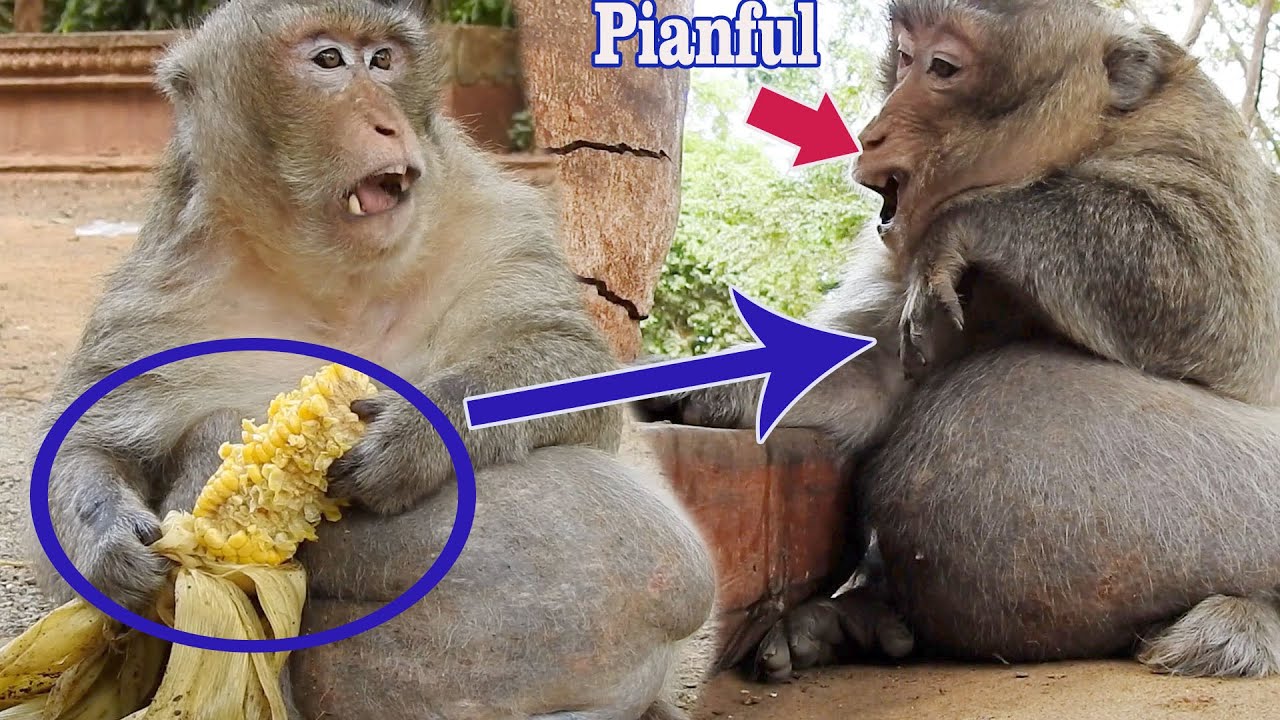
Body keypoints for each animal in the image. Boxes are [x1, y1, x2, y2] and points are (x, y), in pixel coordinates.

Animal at [23, 1, 717, 718]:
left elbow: (579, 376)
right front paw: (109, 547)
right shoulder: (161, 288)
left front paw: (417, 430)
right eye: (329, 60)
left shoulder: (493, 221)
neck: (335, 279)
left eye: (383, 60)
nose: (387, 121)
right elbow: (87, 447)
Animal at [637, 0, 1280, 683]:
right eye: (903, 56)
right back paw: (854, 623)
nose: (870, 134)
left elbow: (1217, 295)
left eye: (943, 67)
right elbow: (872, 376)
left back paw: (1243, 619)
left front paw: (968, 222)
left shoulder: (1190, 138)